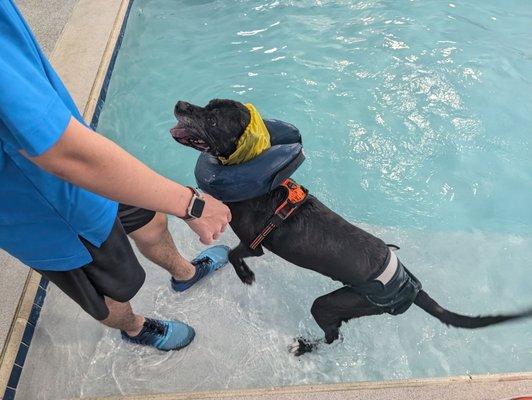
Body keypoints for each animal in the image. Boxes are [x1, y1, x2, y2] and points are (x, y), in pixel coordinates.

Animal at [170, 99, 532, 356]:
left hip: (336, 303)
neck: (259, 180)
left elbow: (234, 254)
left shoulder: (254, 244)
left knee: (333, 335)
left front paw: (246, 276)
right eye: (206, 103)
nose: (180, 104)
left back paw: (305, 346)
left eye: (213, 119)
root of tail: (410, 284)